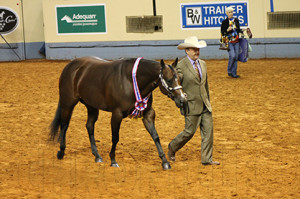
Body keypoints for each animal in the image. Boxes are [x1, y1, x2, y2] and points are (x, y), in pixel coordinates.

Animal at [49, 56, 188, 169]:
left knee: (89, 126)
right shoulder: (117, 114)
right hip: (68, 103)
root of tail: (71, 65)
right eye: (169, 80)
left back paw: (97, 156)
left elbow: (155, 136)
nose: (182, 99)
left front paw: (165, 162)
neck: (131, 80)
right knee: (64, 125)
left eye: (180, 78)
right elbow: (115, 137)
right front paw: (113, 160)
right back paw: (61, 152)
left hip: (91, 106)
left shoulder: (148, 113)